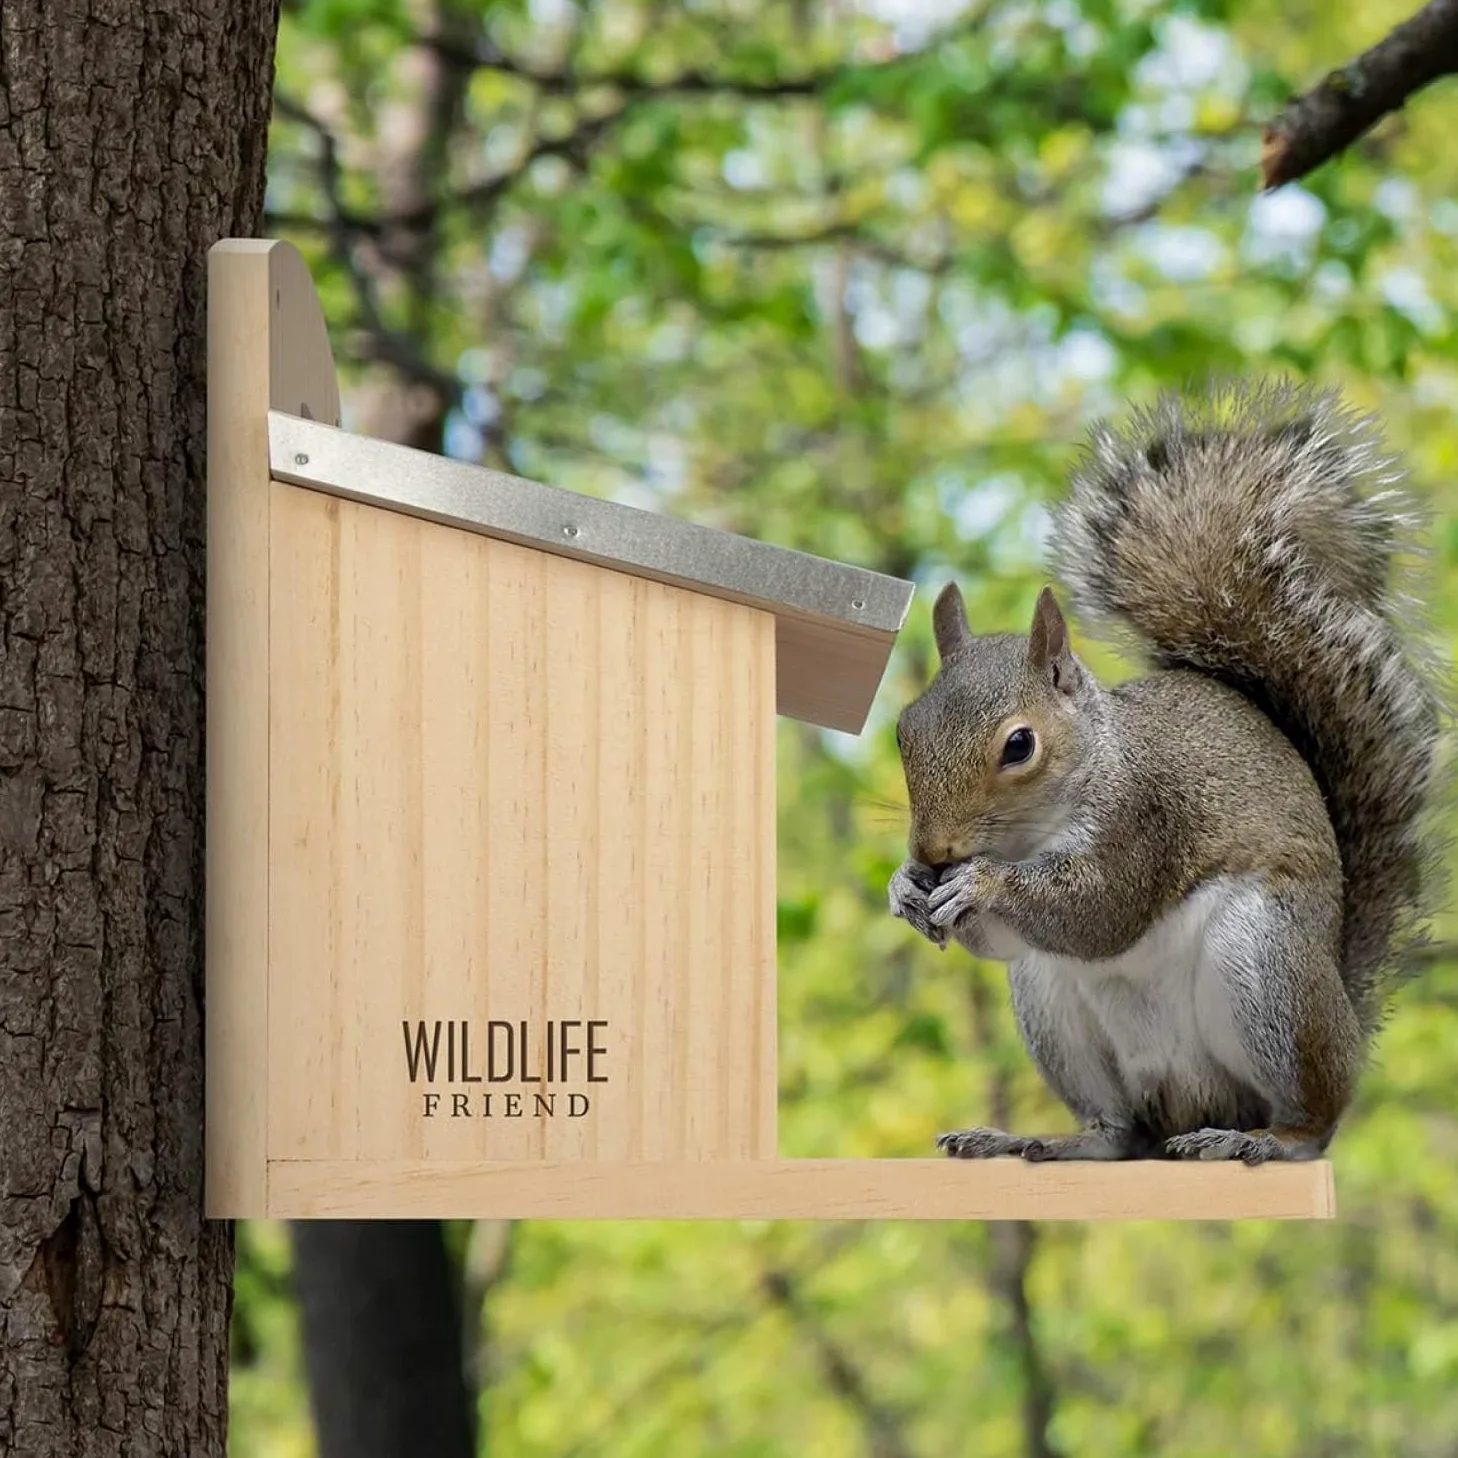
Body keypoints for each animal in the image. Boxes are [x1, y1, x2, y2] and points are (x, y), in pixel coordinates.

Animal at [888, 381, 1448, 1164]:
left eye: (1019, 746)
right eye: (904, 728)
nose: (933, 851)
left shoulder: (1144, 817)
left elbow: (1099, 911)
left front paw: (980, 883)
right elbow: (1001, 939)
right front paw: (905, 888)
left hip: (1266, 967)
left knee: (1313, 1116)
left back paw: (1263, 1140)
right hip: (1052, 1007)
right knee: (1118, 1132)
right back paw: (1048, 1141)